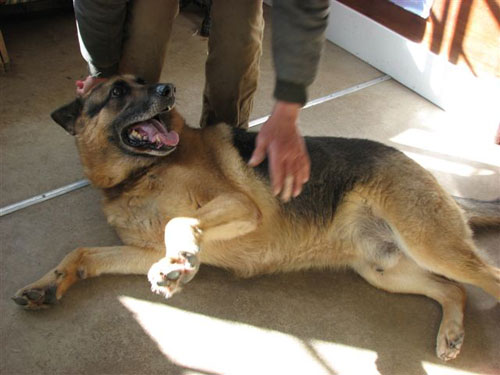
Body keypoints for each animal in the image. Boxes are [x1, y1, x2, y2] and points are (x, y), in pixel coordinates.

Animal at [12, 75, 500, 362]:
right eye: (116, 92)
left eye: (146, 83)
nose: (168, 89)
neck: (138, 174)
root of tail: (437, 179)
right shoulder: (141, 251)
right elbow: (84, 253)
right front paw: (48, 284)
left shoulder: (241, 205)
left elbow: (178, 223)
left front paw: (182, 259)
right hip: (383, 270)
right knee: (454, 290)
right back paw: (452, 333)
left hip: (429, 244)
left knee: (486, 277)